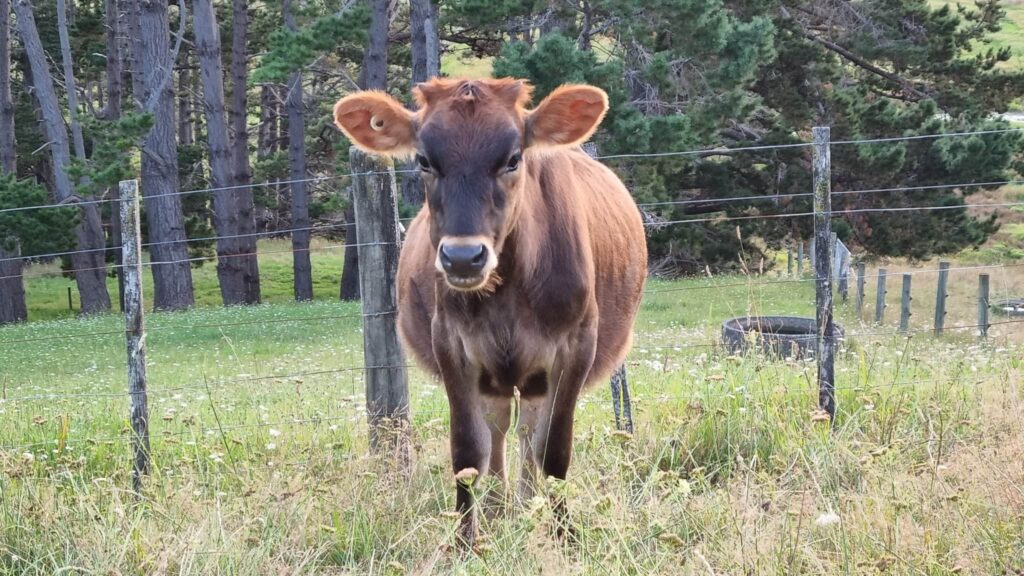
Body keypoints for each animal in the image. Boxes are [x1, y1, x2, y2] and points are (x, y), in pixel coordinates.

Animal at [333, 77, 647, 545]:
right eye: (424, 160)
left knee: (529, 431)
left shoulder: (578, 345)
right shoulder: (449, 342)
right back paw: (501, 512)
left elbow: (554, 450)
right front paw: (467, 541)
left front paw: (564, 534)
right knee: (499, 427)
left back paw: (527, 504)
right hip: (495, 375)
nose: (463, 258)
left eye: (513, 158)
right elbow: (468, 450)